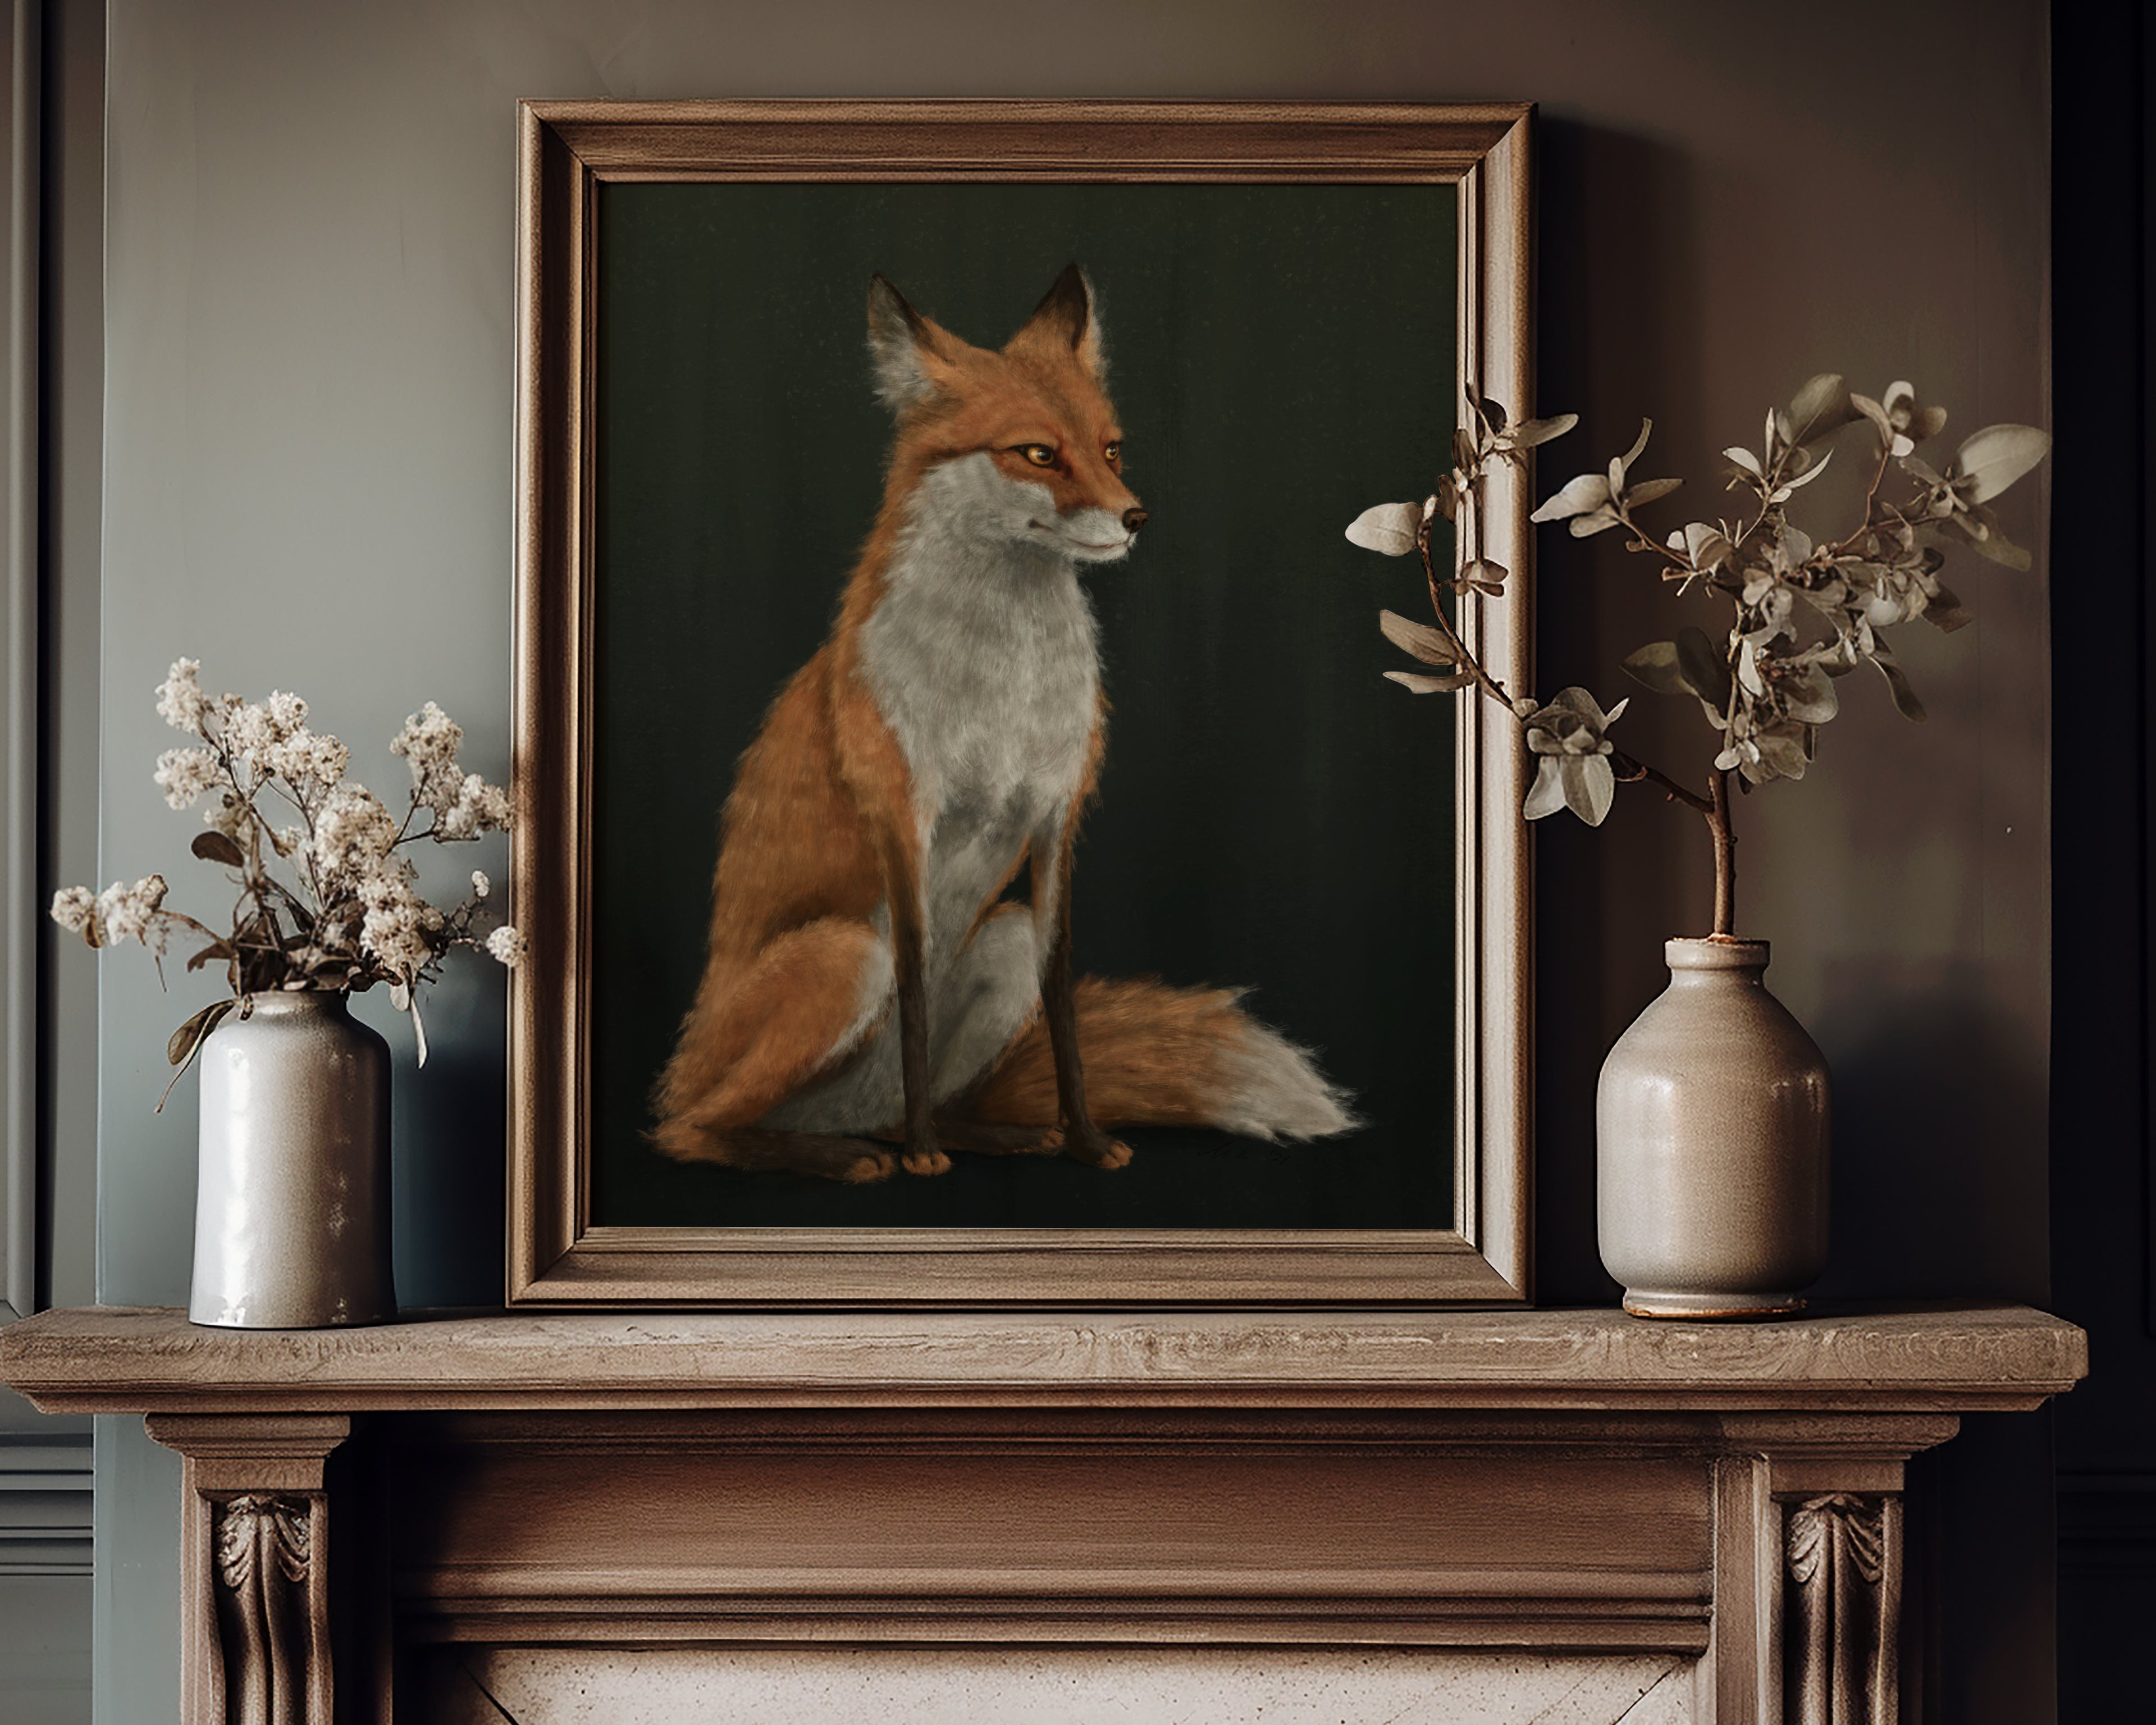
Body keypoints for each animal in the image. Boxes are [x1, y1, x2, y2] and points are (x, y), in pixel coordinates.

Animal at [650, 264, 1355, 1183]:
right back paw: (851, 1154)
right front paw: (926, 1158)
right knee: (692, 1131)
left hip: (1001, 941)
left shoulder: (1057, 817)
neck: (1005, 687)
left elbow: (1062, 1005)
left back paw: (979, 1135)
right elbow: (915, 994)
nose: (1136, 517)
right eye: (1038, 454)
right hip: (844, 956)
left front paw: (1084, 1140)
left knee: (894, 1103)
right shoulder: (905, 818)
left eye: (1111, 448)